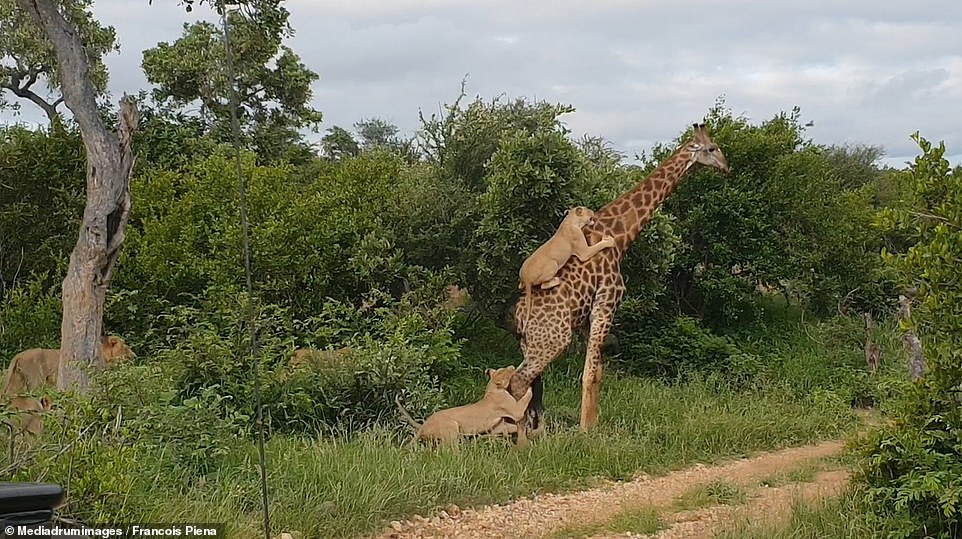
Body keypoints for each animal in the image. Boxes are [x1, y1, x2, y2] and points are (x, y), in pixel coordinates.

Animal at [396, 368, 532, 448]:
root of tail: (424, 425)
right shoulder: (516, 411)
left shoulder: (499, 427)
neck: (491, 388)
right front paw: (530, 389)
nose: (512, 367)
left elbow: (513, 427)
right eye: (506, 371)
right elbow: (526, 399)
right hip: (452, 428)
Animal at [506, 123, 724, 434]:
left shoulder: (591, 314)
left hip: (531, 343)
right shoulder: (608, 300)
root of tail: (519, 317)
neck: (621, 236)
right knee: (519, 380)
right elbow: (589, 373)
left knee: (532, 384)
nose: (727, 167)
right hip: (553, 339)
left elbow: (597, 372)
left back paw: (535, 429)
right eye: (711, 148)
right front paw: (585, 430)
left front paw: (593, 424)